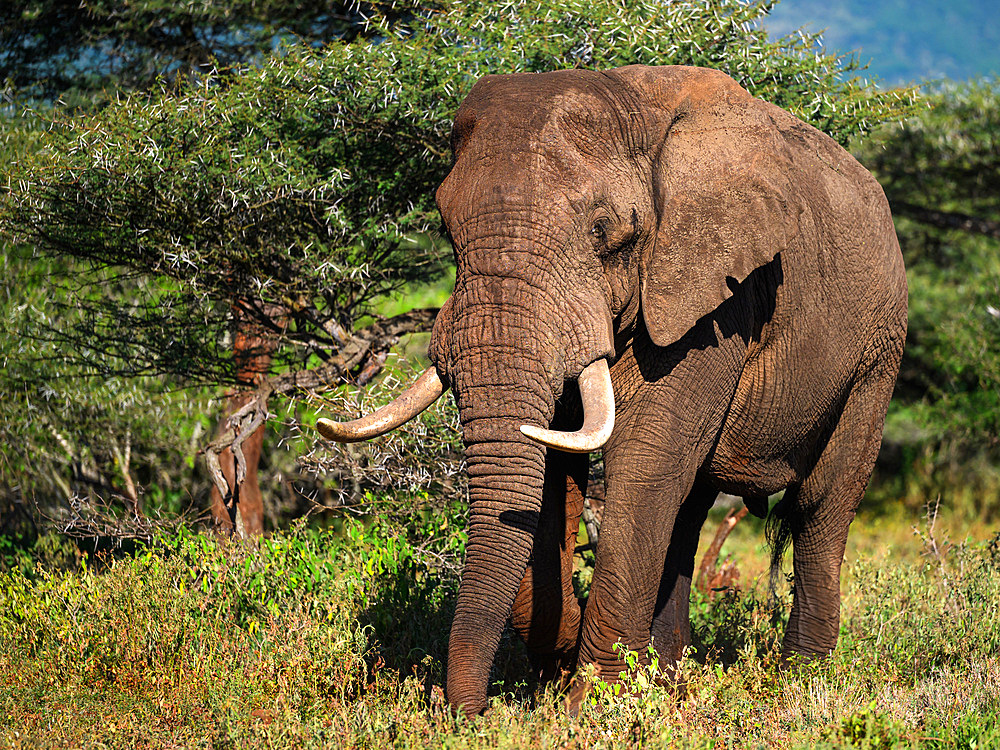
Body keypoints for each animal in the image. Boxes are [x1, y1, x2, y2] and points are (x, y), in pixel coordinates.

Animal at [316, 66, 912, 716]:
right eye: (447, 231)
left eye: (606, 233)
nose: (467, 716)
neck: (627, 99)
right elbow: (558, 468)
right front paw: (568, 668)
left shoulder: (715, 300)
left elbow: (643, 458)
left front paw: (592, 707)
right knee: (690, 507)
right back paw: (670, 677)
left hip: (878, 350)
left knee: (820, 503)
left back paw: (800, 680)